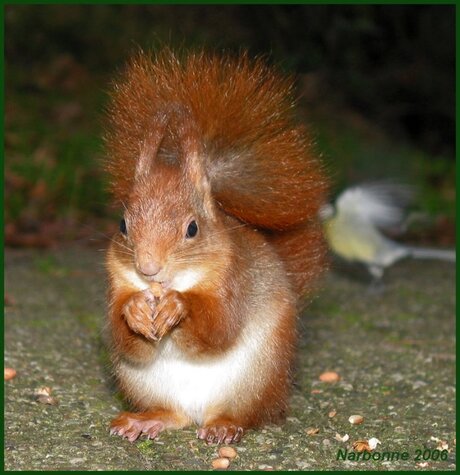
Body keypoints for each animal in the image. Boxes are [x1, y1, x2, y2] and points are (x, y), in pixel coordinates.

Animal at [104, 50, 328, 444]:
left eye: (192, 228)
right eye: (122, 225)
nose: (148, 269)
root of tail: (199, 413)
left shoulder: (233, 278)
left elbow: (219, 327)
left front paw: (178, 306)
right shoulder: (117, 279)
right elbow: (127, 340)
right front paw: (134, 310)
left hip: (258, 376)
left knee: (246, 415)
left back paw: (224, 425)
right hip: (141, 382)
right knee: (173, 414)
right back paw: (146, 420)